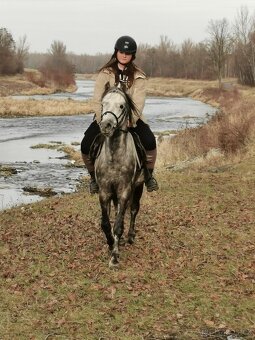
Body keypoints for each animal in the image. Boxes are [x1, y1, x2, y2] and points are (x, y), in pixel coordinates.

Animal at [91, 85, 147, 268]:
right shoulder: (105, 191)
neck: (114, 156)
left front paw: (114, 257)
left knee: (134, 209)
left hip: (138, 186)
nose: (106, 126)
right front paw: (110, 243)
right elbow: (105, 223)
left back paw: (130, 236)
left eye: (122, 106)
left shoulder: (124, 191)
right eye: (103, 103)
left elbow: (118, 225)